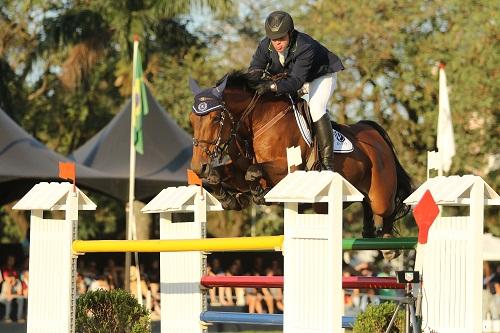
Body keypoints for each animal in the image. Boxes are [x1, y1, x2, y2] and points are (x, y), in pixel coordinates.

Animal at [189, 70, 412, 258]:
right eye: (192, 120)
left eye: (215, 118)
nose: (198, 167)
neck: (258, 123)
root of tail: (373, 132)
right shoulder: (237, 171)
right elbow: (218, 178)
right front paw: (231, 198)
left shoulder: (288, 172)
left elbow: (253, 172)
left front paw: (259, 194)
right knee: (364, 202)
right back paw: (369, 231)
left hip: (380, 195)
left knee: (388, 208)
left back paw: (388, 244)